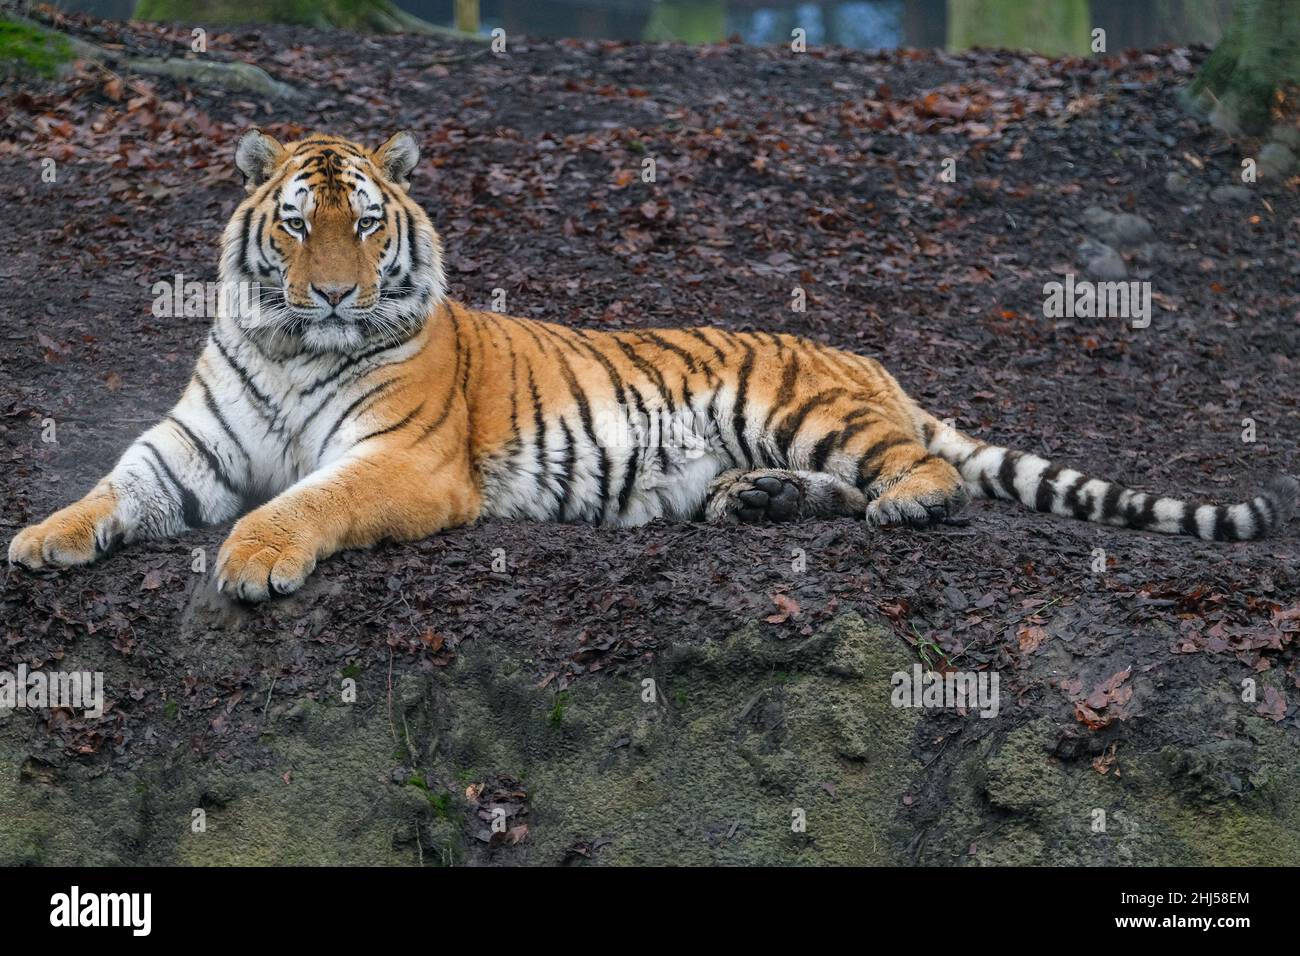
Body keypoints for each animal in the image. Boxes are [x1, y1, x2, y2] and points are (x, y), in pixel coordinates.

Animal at [10, 130, 1300, 600]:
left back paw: (896, 505)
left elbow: (311, 498)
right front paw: (40, 537)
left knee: (920, 474)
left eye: (366, 224)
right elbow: (114, 483)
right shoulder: (189, 445)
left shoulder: (403, 460)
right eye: (294, 225)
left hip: (805, 404)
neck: (289, 348)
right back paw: (754, 501)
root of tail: (870, 359)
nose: (333, 291)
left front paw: (254, 557)